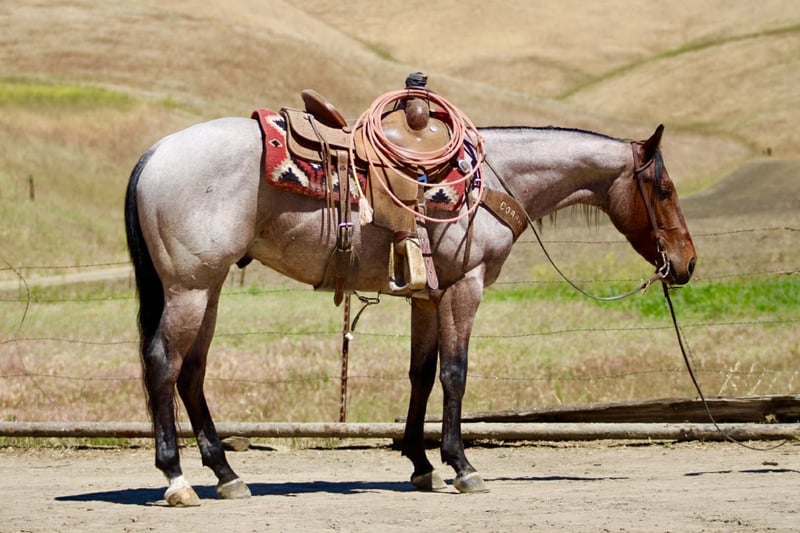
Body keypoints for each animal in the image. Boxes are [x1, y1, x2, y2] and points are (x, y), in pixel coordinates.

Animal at [124, 110, 696, 506]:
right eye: (665, 189)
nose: (686, 263)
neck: (493, 181)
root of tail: (155, 153)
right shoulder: (465, 286)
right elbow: (455, 373)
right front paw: (461, 466)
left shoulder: (428, 296)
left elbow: (421, 374)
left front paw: (421, 463)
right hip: (190, 288)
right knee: (163, 367)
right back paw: (176, 479)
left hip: (209, 288)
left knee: (192, 373)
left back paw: (227, 475)